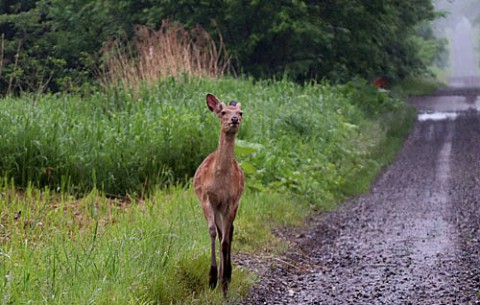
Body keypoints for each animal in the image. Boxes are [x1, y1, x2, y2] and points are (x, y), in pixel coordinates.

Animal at [192, 92, 244, 294]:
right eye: (223, 112)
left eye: (241, 112)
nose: (234, 119)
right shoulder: (207, 199)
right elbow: (213, 232)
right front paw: (212, 278)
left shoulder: (231, 201)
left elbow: (225, 240)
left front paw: (223, 281)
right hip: (216, 207)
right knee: (223, 232)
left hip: (231, 206)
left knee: (229, 232)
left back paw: (227, 274)